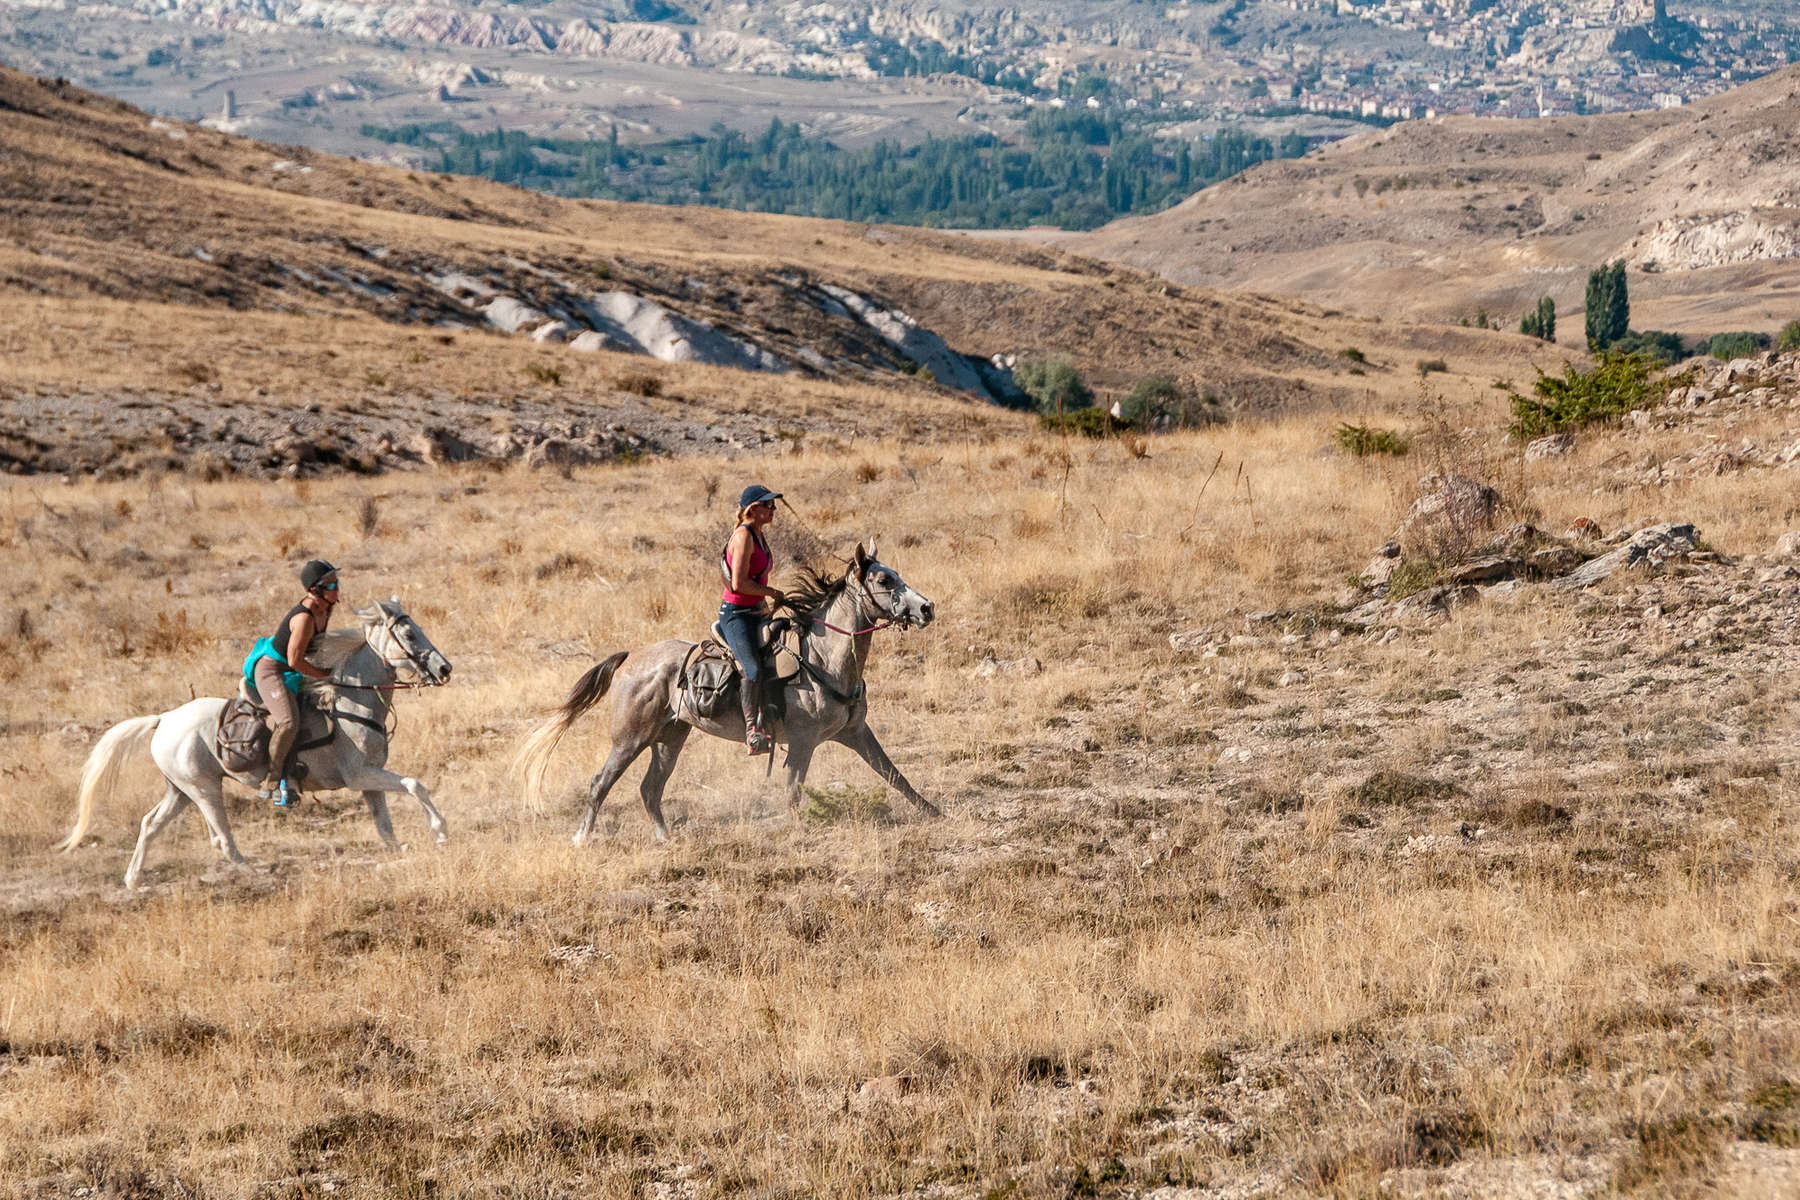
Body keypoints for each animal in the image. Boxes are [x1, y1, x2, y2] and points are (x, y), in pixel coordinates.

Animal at [63, 600, 457, 892]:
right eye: (409, 633)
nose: (444, 669)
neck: (350, 701)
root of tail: (164, 719)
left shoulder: (370, 778)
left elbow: (384, 824)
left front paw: (399, 850)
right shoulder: (360, 775)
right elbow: (415, 785)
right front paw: (440, 833)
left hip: (180, 790)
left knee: (150, 824)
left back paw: (133, 880)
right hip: (204, 788)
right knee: (221, 839)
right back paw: (254, 871)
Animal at [518, 543, 943, 845]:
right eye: (884, 581)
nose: (926, 608)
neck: (823, 660)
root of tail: (630, 657)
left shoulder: (855, 733)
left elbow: (895, 774)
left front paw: (935, 812)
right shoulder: (803, 742)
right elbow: (793, 792)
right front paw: (794, 830)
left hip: (670, 737)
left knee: (650, 789)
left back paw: (666, 839)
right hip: (630, 739)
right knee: (601, 783)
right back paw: (582, 838)